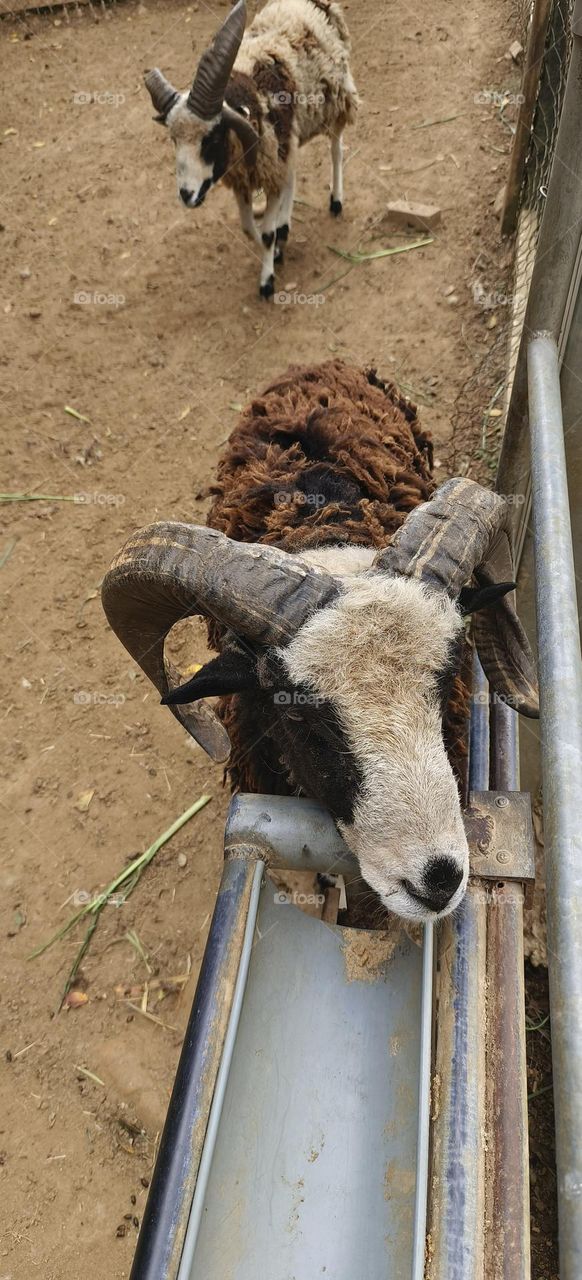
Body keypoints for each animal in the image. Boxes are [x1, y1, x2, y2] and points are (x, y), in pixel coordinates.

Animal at [144, 0, 358, 297]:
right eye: (174, 139)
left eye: (211, 139)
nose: (187, 195)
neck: (249, 94)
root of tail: (314, 4)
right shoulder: (245, 175)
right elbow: (248, 227)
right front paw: (277, 249)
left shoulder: (267, 167)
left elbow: (267, 233)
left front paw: (267, 280)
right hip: (288, 139)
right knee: (292, 174)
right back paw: (285, 224)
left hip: (337, 99)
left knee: (336, 149)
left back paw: (336, 201)